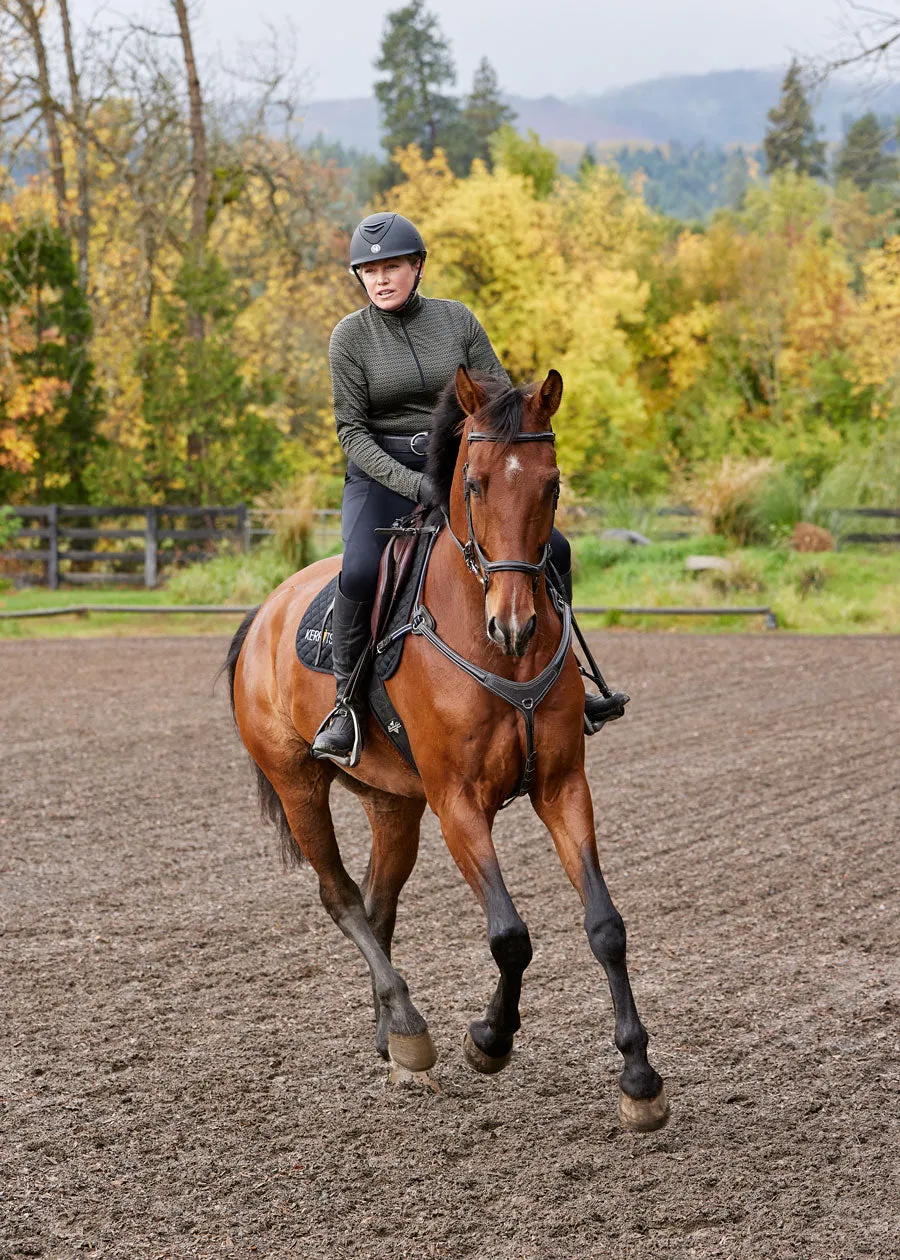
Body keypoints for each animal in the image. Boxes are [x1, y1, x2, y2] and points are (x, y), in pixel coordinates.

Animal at [225, 365, 665, 1134]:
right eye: (476, 484)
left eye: (551, 484)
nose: (514, 624)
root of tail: (265, 614)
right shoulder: (458, 802)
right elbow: (510, 936)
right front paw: (489, 1040)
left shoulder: (563, 786)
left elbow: (606, 926)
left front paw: (639, 1079)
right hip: (298, 784)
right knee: (342, 897)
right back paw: (409, 1030)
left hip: (393, 805)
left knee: (379, 903)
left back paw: (391, 1036)